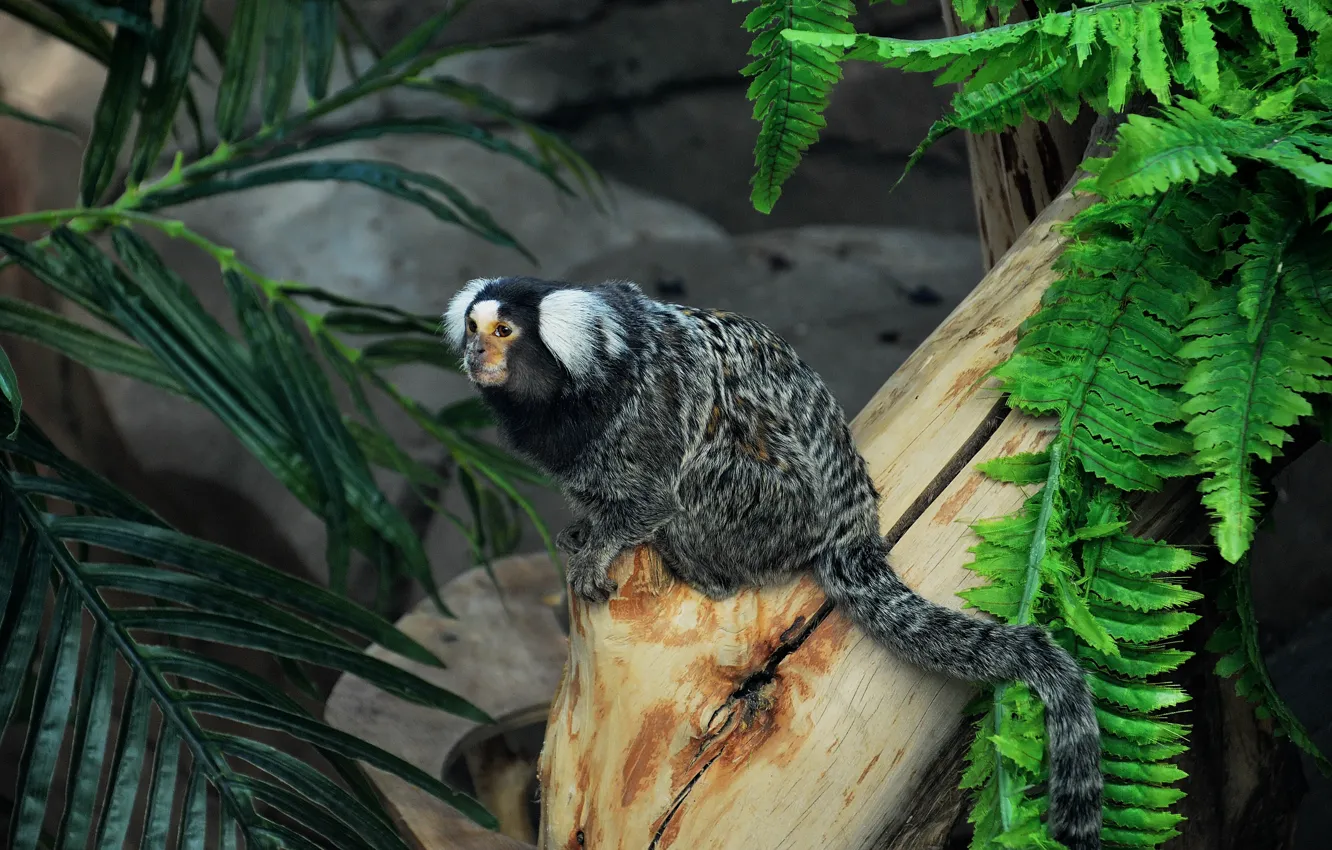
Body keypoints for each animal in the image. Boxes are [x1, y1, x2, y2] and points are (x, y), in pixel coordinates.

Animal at [444, 275, 1102, 850]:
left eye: (504, 330)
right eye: (474, 328)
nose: (476, 350)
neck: (590, 372)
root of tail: (848, 517)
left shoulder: (646, 414)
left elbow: (653, 496)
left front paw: (605, 545)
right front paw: (585, 529)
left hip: (770, 509)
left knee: (704, 470)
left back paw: (701, 568)